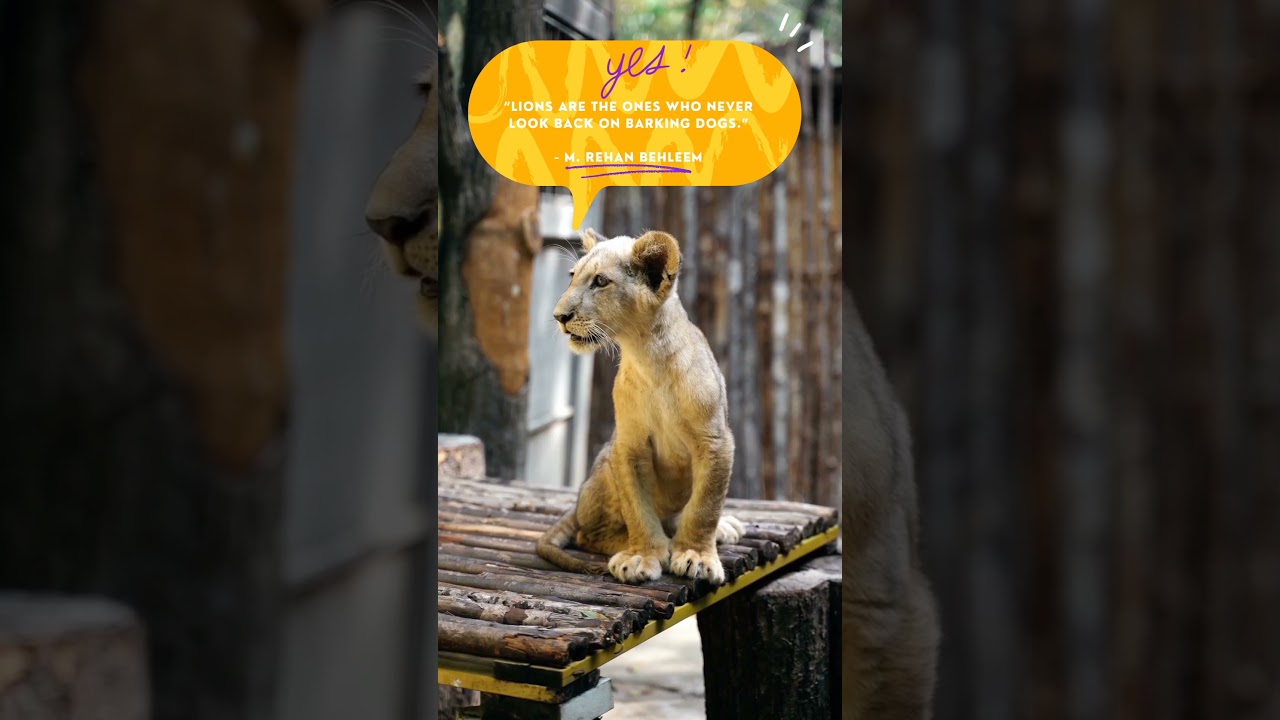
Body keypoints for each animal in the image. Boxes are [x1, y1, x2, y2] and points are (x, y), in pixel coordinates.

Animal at [536, 228, 744, 586]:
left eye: (600, 281)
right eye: (572, 276)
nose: (559, 317)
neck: (648, 357)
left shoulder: (716, 442)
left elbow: (705, 507)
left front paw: (696, 555)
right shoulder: (628, 444)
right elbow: (638, 508)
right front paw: (642, 556)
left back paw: (717, 529)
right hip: (603, 470)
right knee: (588, 535)